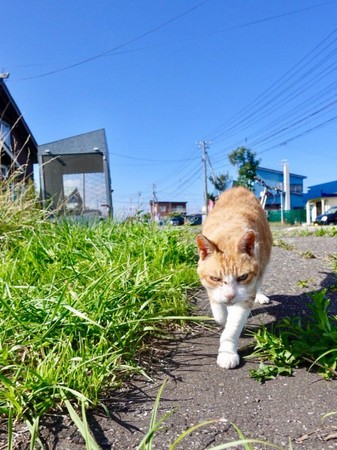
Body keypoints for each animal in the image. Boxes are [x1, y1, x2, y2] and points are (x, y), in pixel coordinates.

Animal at [196, 186, 272, 370]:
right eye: (215, 278)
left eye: (243, 277)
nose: (230, 296)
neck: (228, 234)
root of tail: (239, 188)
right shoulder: (211, 289)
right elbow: (219, 314)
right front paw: (224, 315)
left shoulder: (246, 295)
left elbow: (233, 326)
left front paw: (227, 352)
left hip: (264, 259)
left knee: (260, 279)